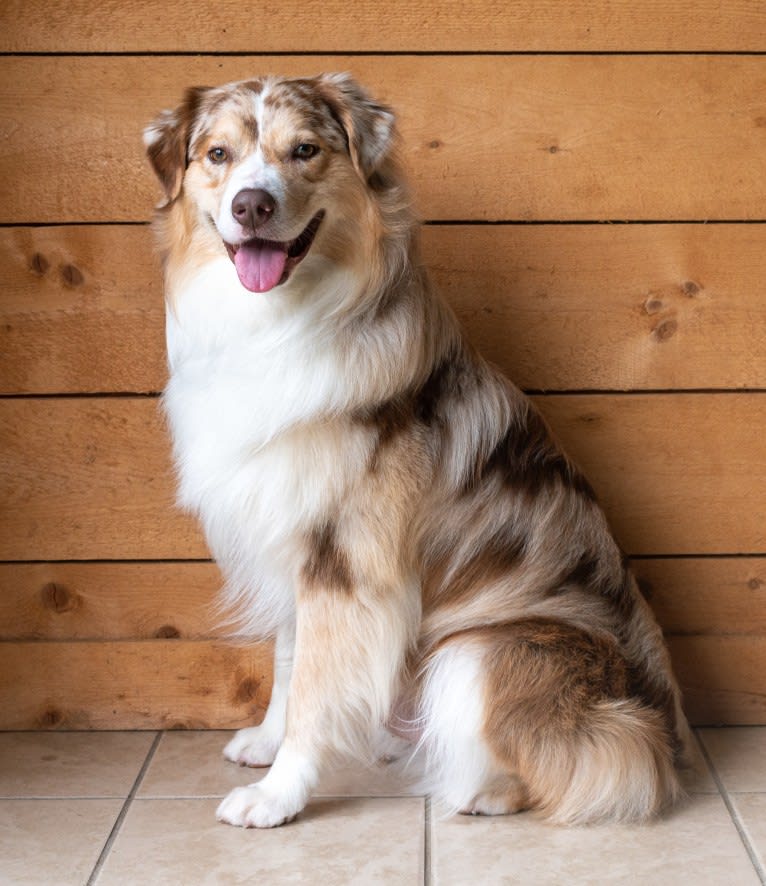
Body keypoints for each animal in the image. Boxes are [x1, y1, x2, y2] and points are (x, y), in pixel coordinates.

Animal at [142, 73, 688, 828]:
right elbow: (288, 662)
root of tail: (669, 740)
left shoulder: (347, 559)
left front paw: (279, 795)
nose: (252, 205)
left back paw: (476, 792)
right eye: (217, 154)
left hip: (481, 652)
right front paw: (267, 742)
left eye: (304, 150)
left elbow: (314, 687)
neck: (278, 325)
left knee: (600, 766)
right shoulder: (294, 537)